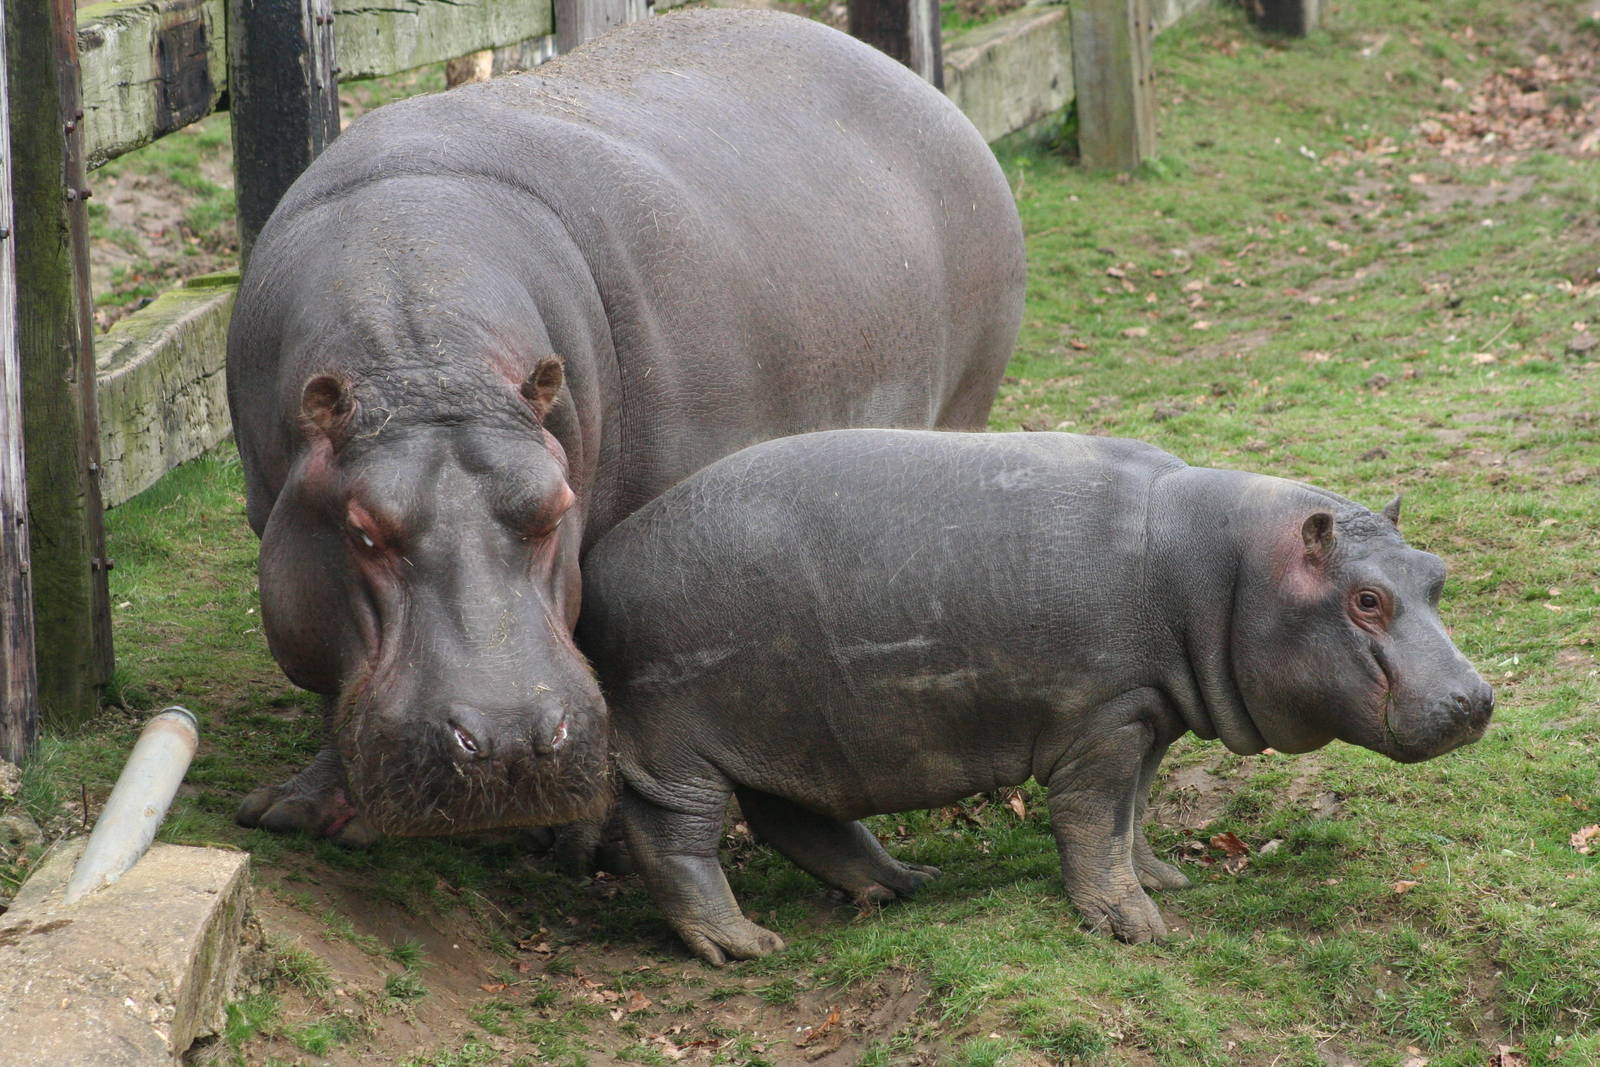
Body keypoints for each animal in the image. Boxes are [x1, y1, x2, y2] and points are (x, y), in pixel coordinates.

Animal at [225, 9, 1026, 841]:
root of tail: (914, 80)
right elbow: (325, 672)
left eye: (554, 509)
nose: (511, 741)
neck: (427, 351)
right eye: (362, 531)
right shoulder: (282, 513)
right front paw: (297, 809)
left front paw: (583, 839)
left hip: (964, 402)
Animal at [576, 429, 1494, 964]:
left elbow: (1132, 813)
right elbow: (1092, 818)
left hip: (792, 729)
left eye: (1436, 572)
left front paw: (1162, 880)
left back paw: (904, 882)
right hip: (680, 744)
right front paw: (1134, 926)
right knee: (677, 838)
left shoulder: (1148, 713)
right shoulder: (1104, 718)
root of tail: (591, 569)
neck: (1221, 565)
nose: (1477, 700)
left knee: (795, 815)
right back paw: (744, 945)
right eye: (1365, 599)